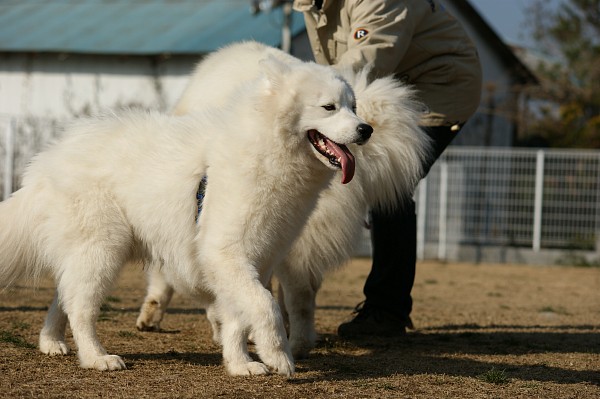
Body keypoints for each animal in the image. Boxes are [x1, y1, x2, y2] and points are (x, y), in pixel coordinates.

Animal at [1, 48, 376, 376]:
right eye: (329, 107)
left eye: (354, 106)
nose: (366, 129)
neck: (266, 147)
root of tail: (45, 161)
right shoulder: (226, 253)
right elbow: (265, 306)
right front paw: (278, 357)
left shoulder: (256, 259)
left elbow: (238, 319)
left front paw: (240, 365)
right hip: (102, 250)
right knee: (80, 307)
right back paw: (96, 358)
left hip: (87, 253)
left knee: (63, 295)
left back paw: (51, 342)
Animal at [136, 43, 432, 360]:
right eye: (330, 107)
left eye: (351, 107)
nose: (365, 130)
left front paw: (158, 314)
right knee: (302, 294)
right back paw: (297, 342)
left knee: (297, 293)